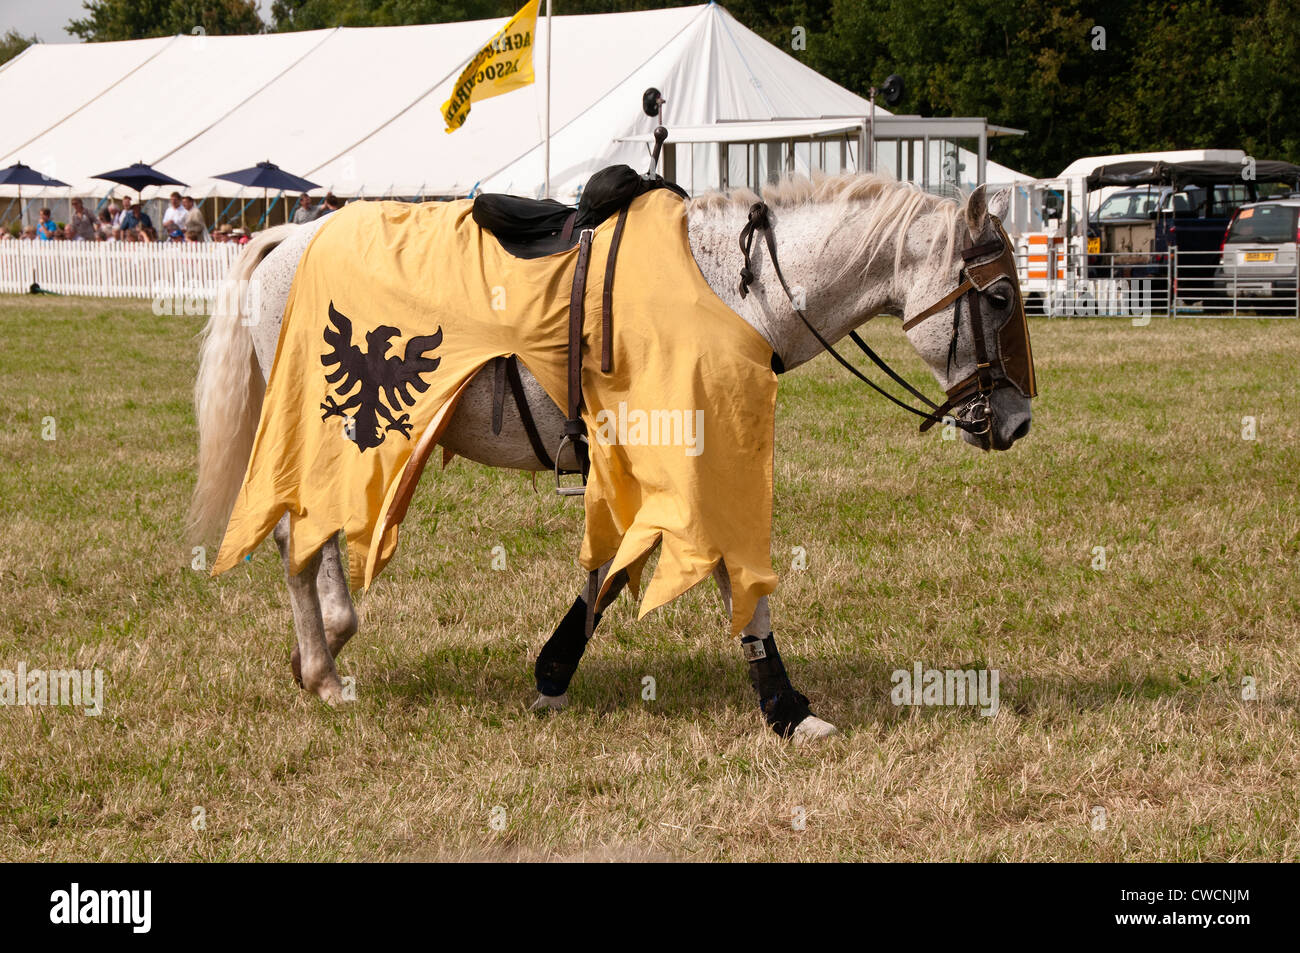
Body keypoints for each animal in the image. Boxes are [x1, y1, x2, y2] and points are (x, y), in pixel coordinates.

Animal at [188, 174, 1029, 748]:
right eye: (995, 298)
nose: (1018, 421)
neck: (732, 289)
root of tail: (288, 238)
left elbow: (615, 568)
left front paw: (555, 672)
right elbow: (723, 576)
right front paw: (787, 708)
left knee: (309, 533)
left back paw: (325, 645)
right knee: (299, 535)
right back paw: (324, 667)